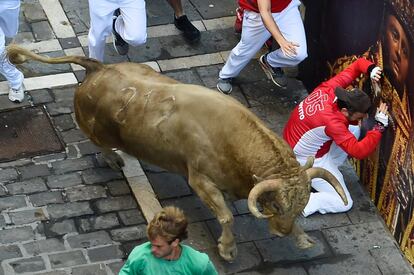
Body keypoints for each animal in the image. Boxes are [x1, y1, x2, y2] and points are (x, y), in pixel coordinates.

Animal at [8, 44, 348, 260]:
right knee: (98, 143)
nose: (280, 232)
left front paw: (302, 237)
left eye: (302, 204)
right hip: (92, 128)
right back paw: (114, 158)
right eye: (275, 205)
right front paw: (227, 250)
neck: (236, 143)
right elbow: (226, 216)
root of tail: (98, 67)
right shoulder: (199, 179)